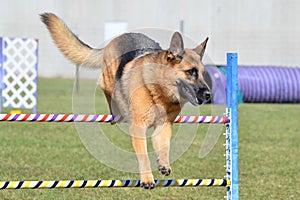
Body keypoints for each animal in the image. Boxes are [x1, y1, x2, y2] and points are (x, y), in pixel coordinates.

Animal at [40, 12, 211, 189]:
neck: (158, 92)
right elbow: (143, 156)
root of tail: (118, 37)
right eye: (191, 72)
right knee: (106, 89)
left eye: (202, 73)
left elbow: (164, 147)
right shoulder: (138, 127)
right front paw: (147, 179)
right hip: (109, 80)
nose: (208, 95)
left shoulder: (163, 127)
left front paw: (164, 163)